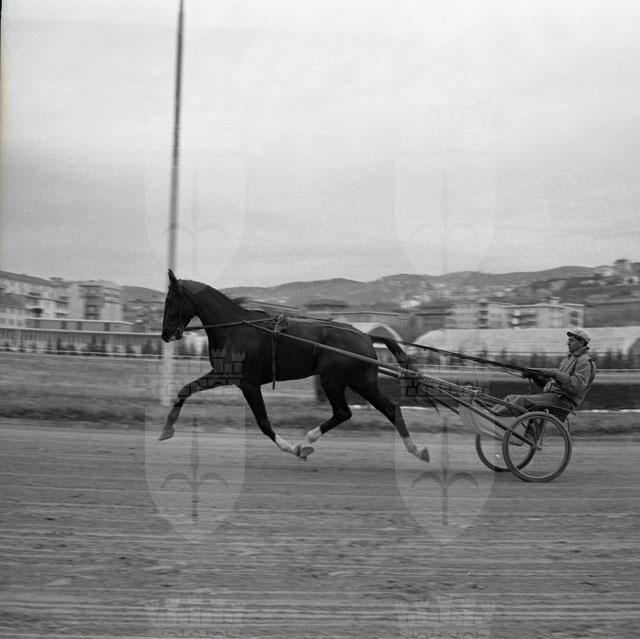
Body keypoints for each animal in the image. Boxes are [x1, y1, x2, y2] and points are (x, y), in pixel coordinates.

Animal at [159, 270, 429, 462]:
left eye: (170, 301)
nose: (164, 334)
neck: (235, 328)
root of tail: (366, 335)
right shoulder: (225, 375)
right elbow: (185, 390)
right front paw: (166, 430)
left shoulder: (247, 383)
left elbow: (263, 423)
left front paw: (291, 448)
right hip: (361, 382)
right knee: (389, 409)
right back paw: (416, 449)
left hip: (335, 380)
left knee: (346, 412)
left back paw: (308, 441)